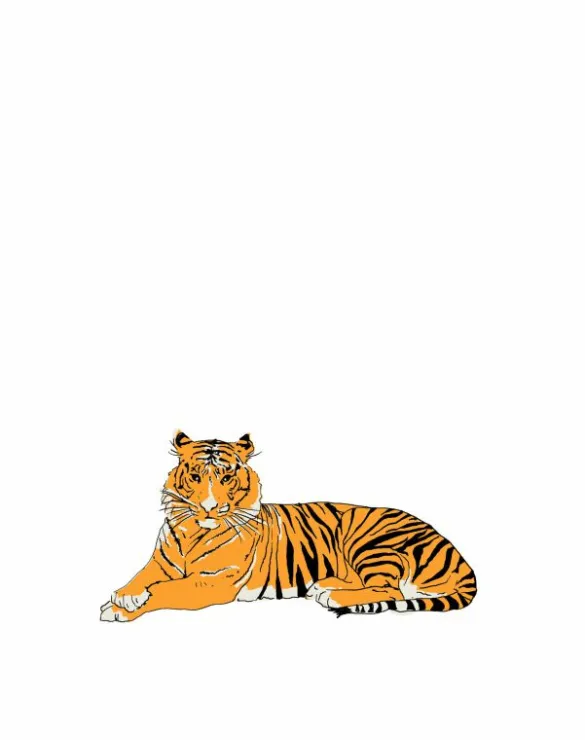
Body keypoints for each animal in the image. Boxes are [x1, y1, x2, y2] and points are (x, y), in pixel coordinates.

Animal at [100, 431, 476, 621]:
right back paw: (324, 586)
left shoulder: (214, 582)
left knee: (390, 590)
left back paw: (331, 595)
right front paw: (124, 596)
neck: (193, 530)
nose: (209, 508)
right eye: (195, 477)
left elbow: (164, 591)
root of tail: (458, 555)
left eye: (226, 478)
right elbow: (141, 578)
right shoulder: (161, 563)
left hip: (371, 542)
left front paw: (119, 608)